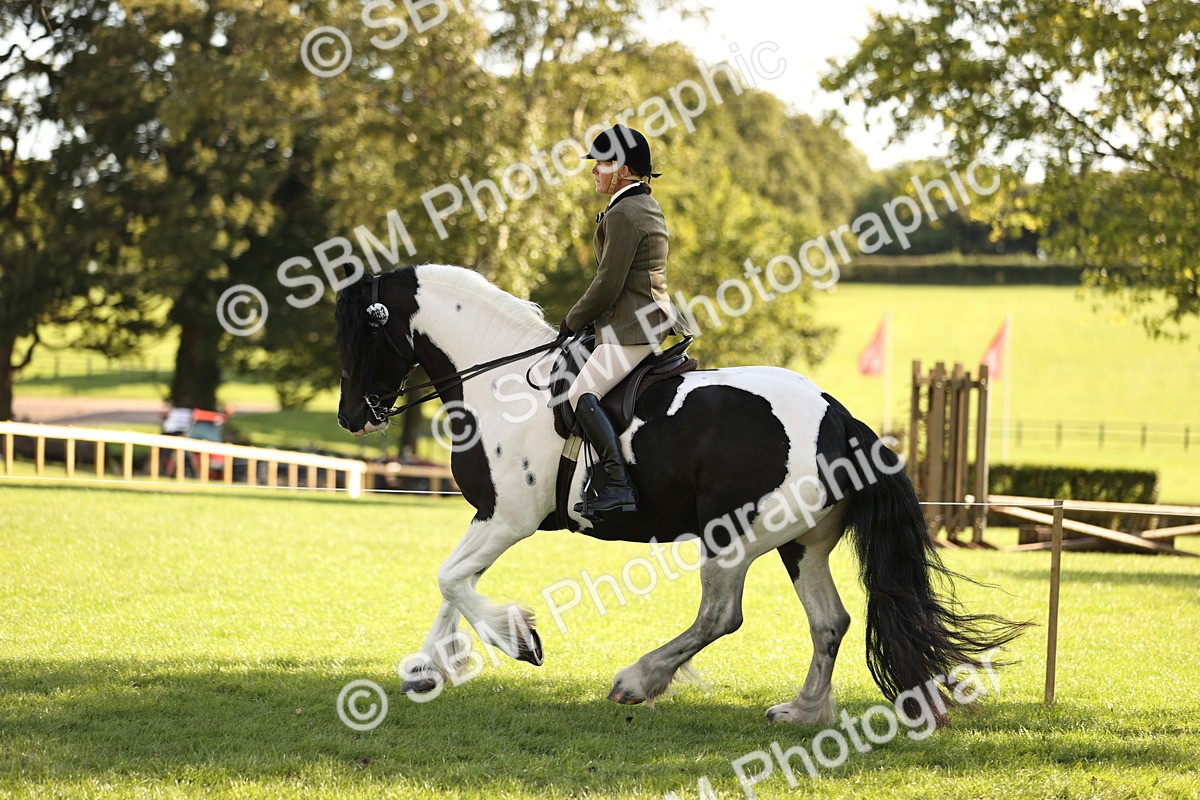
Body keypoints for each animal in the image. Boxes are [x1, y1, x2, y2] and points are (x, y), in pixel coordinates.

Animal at [334, 264, 1026, 722]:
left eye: (359, 334)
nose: (351, 416)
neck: (500, 382)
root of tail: (842, 420)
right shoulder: (488, 514)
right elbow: (452, 582)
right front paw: (431, 666)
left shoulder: (508, 518)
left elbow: (452, 579)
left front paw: (516, 639)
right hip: (801, 544)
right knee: (829, 622)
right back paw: (802, 711)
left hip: (733, 536)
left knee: (721, 615)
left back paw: (639, 680)